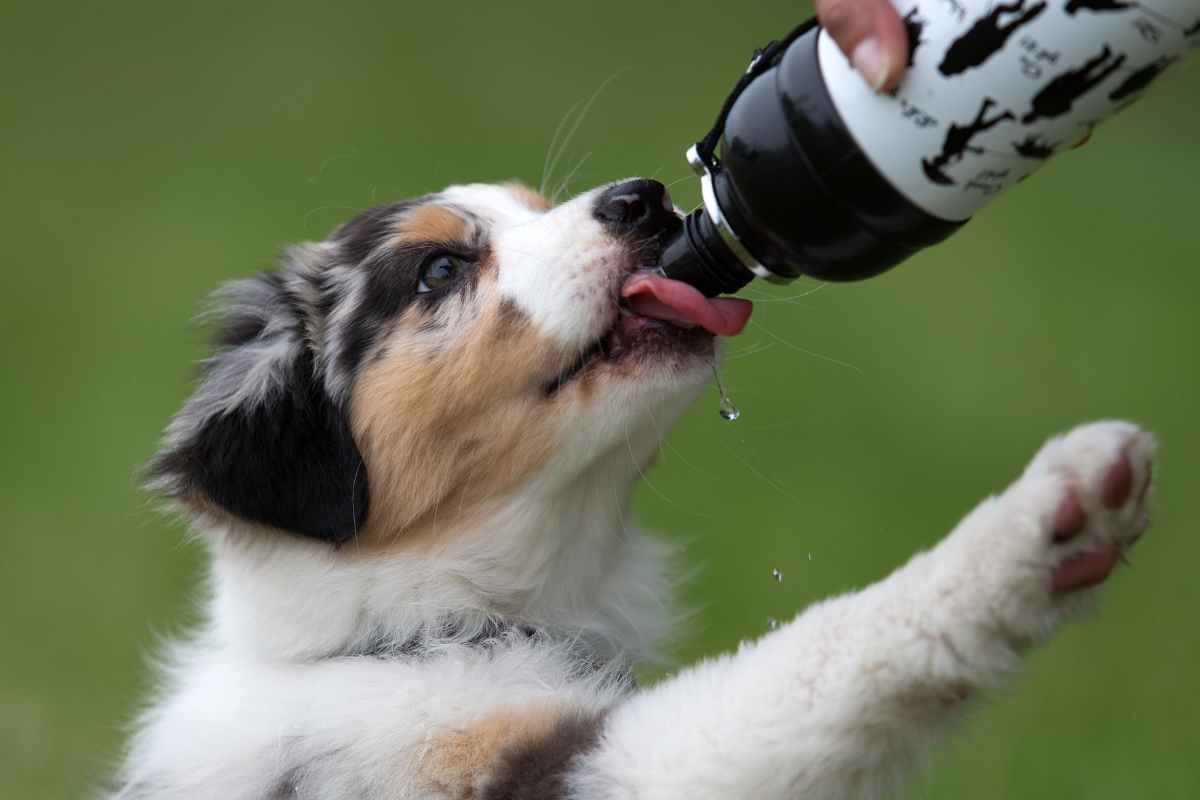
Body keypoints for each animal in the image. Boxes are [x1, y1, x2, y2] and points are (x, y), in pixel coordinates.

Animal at [112, 178, 1152, 796]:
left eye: (536, 204)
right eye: (439, 269)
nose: (642, 196)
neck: (399, 631)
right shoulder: (569, 768)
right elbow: (811, 663)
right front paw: (1046, 518)